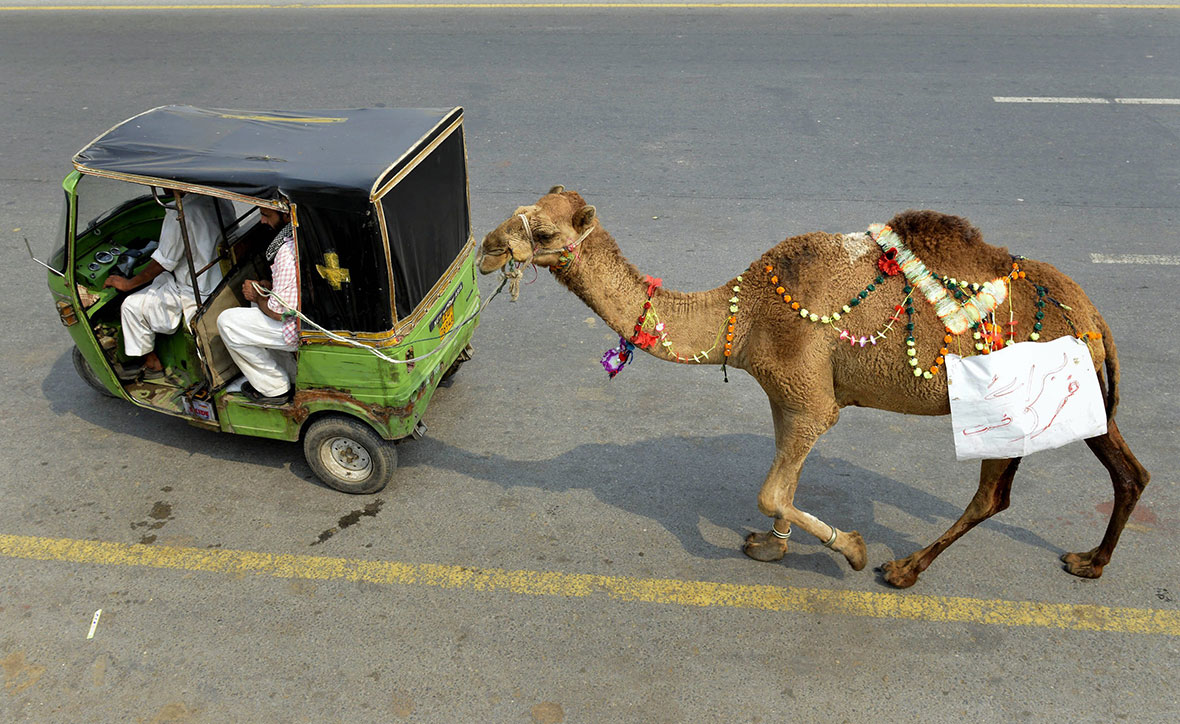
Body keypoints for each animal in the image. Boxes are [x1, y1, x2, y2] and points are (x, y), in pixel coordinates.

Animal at [474, 188, 1146, 589]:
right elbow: (783, 483)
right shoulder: (784, 395)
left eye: (540, 232)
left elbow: (772, 489)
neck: (743, 315)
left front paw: (850, 549)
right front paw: (772, 548)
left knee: (995, 495)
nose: (486, 248)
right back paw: (1090, 562)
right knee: (1124, 472)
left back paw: (903, 569)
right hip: (1078, 396)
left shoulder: (809, 396)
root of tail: (1093, 313)